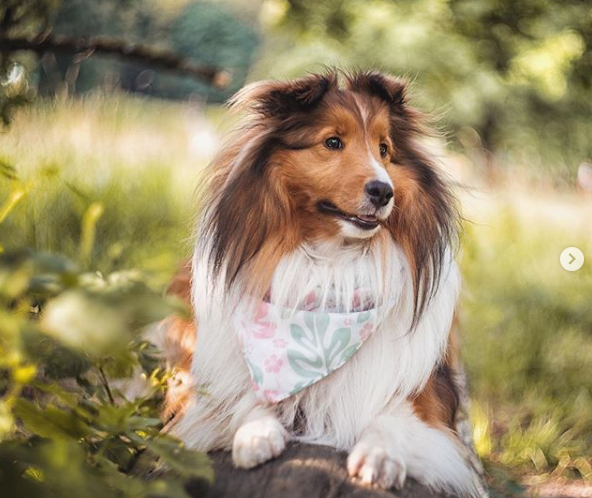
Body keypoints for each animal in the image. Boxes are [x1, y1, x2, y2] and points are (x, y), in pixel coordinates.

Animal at [160, 70, 478, 494]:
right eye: (332, 142)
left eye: (384, 149)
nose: (384, 191)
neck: (331, 266)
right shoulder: (220, 379)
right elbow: (243, 395)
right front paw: (256, 433)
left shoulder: (428, 393)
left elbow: (393, 414)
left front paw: (380, 455)